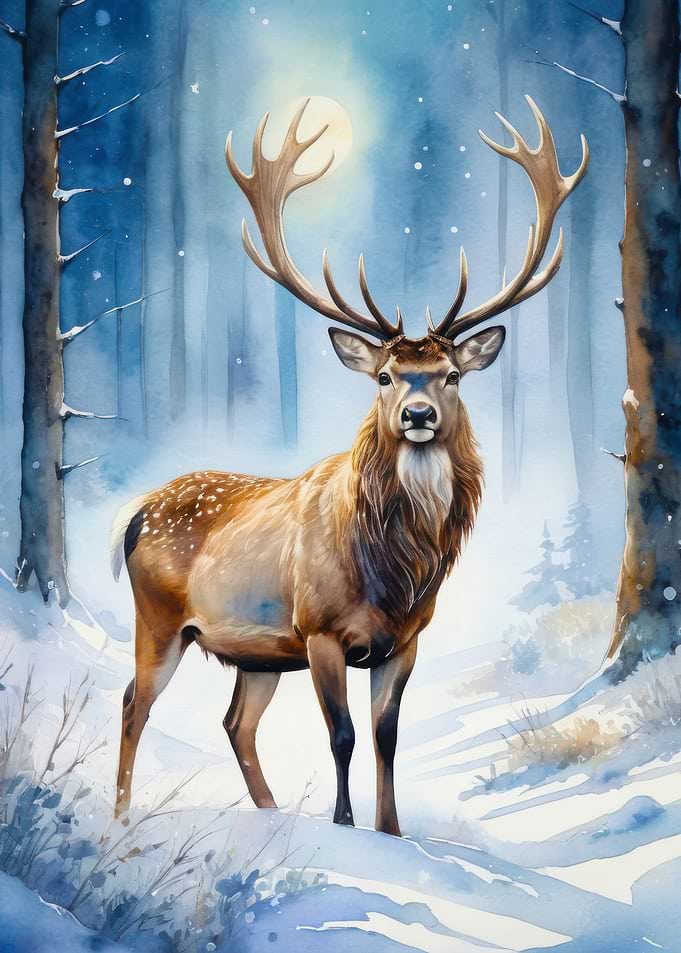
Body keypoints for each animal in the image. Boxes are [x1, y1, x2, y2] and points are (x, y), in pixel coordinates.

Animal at [110, 96, 587, 835]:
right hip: (160, 618)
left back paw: (271, 813)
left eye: (451, 375)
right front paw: (343, 823)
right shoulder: (321, 630)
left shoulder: (404, 639)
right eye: (385, 376)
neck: (393, 569)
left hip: (256, 651)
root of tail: (134, 515)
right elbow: (342, 734)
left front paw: (390, 829)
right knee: (135, 701)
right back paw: (122, 815)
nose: (417, 414)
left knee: (236, 723)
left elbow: (387, 734)